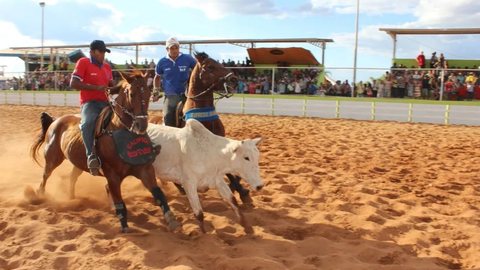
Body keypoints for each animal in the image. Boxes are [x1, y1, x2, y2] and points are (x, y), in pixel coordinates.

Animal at [30, 70, 180, 233]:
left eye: (148, 92)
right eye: (131, 93)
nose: (141, 125)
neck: (118, 131)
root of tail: (55, 120)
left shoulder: (144, 169)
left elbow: (159, 194)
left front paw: (171, 220)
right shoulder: (112, 175)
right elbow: (119, 201)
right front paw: (124, 226)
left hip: (79, 162)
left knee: (72, 177)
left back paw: (72, 198)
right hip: (52, 157)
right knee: (45, 175)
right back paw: (39, 195)